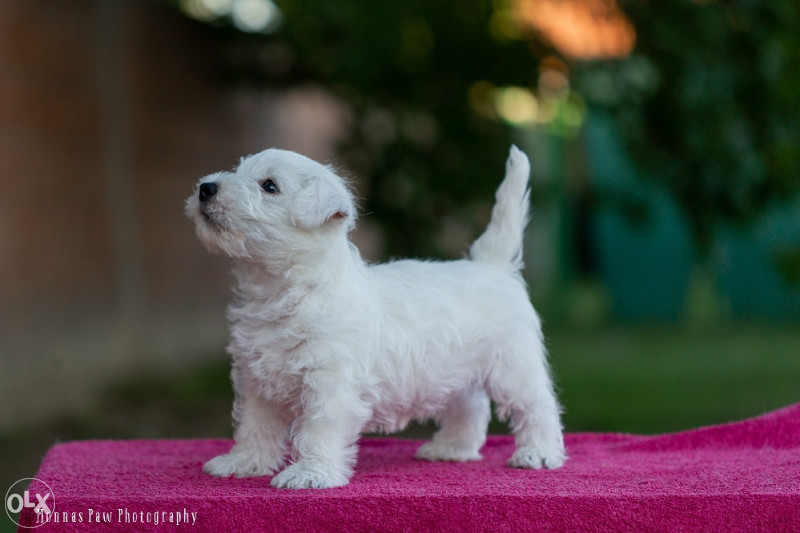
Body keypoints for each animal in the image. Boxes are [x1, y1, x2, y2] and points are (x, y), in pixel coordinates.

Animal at [184, 144, 564, 486]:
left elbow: (318, 429)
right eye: (238, 170)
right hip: (457, 370)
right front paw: (244, 463)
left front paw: (311, 473)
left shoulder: (330, 383)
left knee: (538, 406)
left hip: (513, 366)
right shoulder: (257, 380)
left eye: (269, 186)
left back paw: (539, 453)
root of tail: (492, 266)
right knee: (471, 408)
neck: (280, 291)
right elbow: (254, 426)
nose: (206, 187)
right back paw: (452, 448)